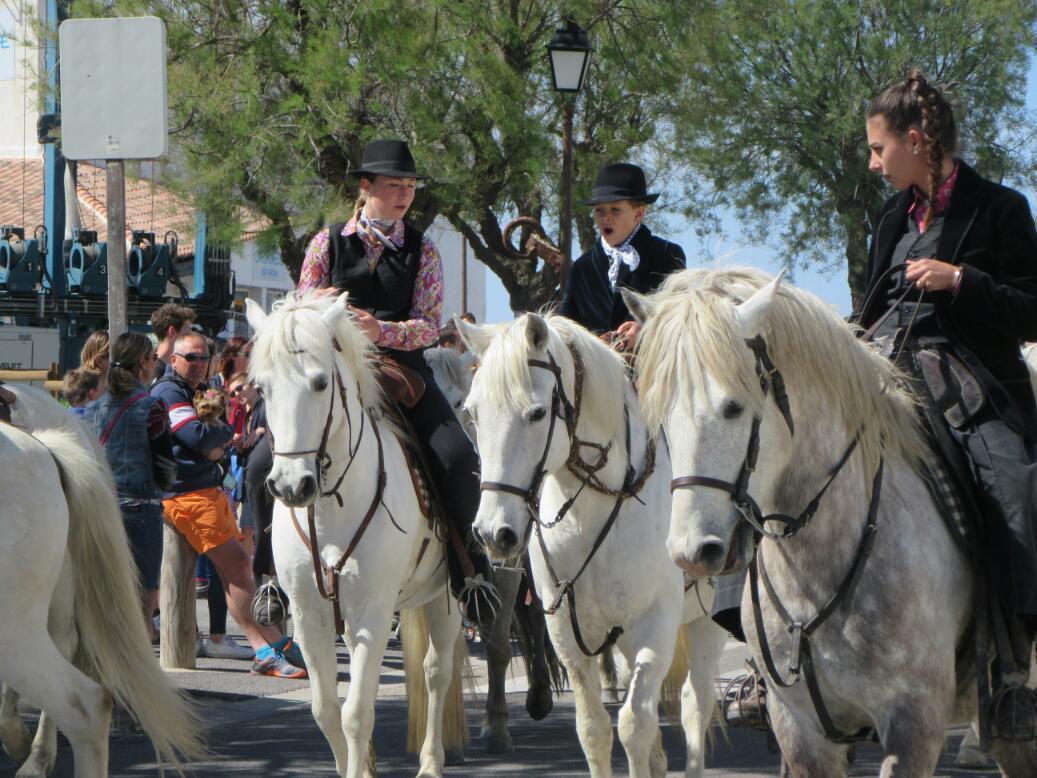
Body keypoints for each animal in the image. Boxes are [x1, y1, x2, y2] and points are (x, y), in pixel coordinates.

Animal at [246, 292, 466, 778]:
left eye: (320, 382)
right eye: (262, 388)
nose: (292, 486)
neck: (331, 510)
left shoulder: (374, 611)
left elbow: (357, 713)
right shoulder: (310, 614)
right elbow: (327, 711)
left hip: (447, 596)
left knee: (436, 671)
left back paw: (431, 762)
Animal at [457, 312, 727, 778]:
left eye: (537, 412)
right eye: (471, 413)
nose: (493, 532)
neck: (595, 509)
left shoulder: (654, 624)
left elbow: (635, 725)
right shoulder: (567, 633)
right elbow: (593, 729)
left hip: (706, 621)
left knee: (696, 704)